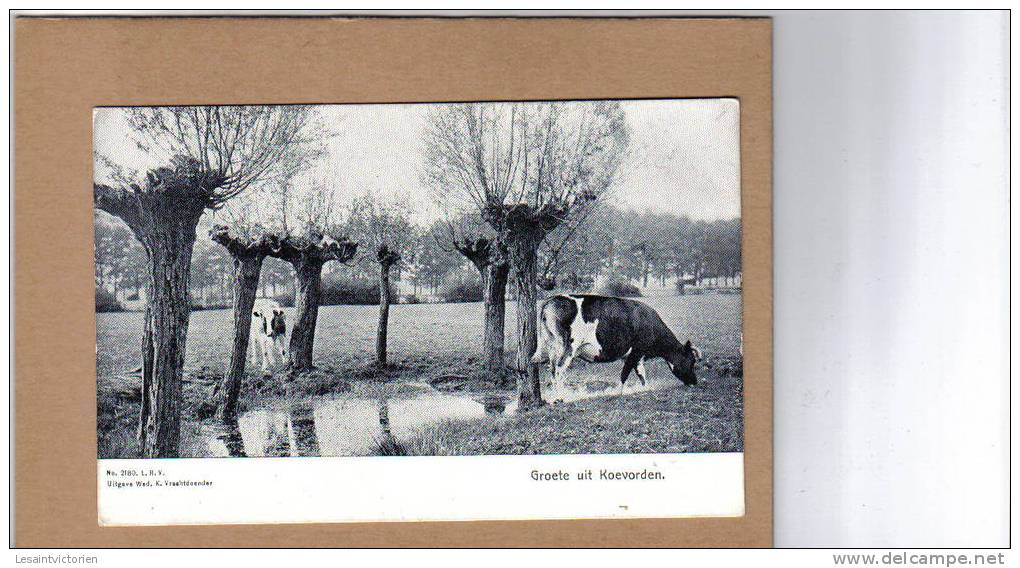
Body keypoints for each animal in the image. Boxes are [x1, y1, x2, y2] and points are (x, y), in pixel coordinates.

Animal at [526, 293, 701, 401]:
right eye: (692, 361)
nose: (695, 381)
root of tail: (552, 299)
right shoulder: (635, 352)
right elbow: (624, 375)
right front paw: (620, 393)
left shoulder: (637, 356)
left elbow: (641, 375)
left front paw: (645, 389)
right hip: (568, 347)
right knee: (559, 369)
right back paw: (560, 397)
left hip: (552, 346)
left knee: (552, 368)